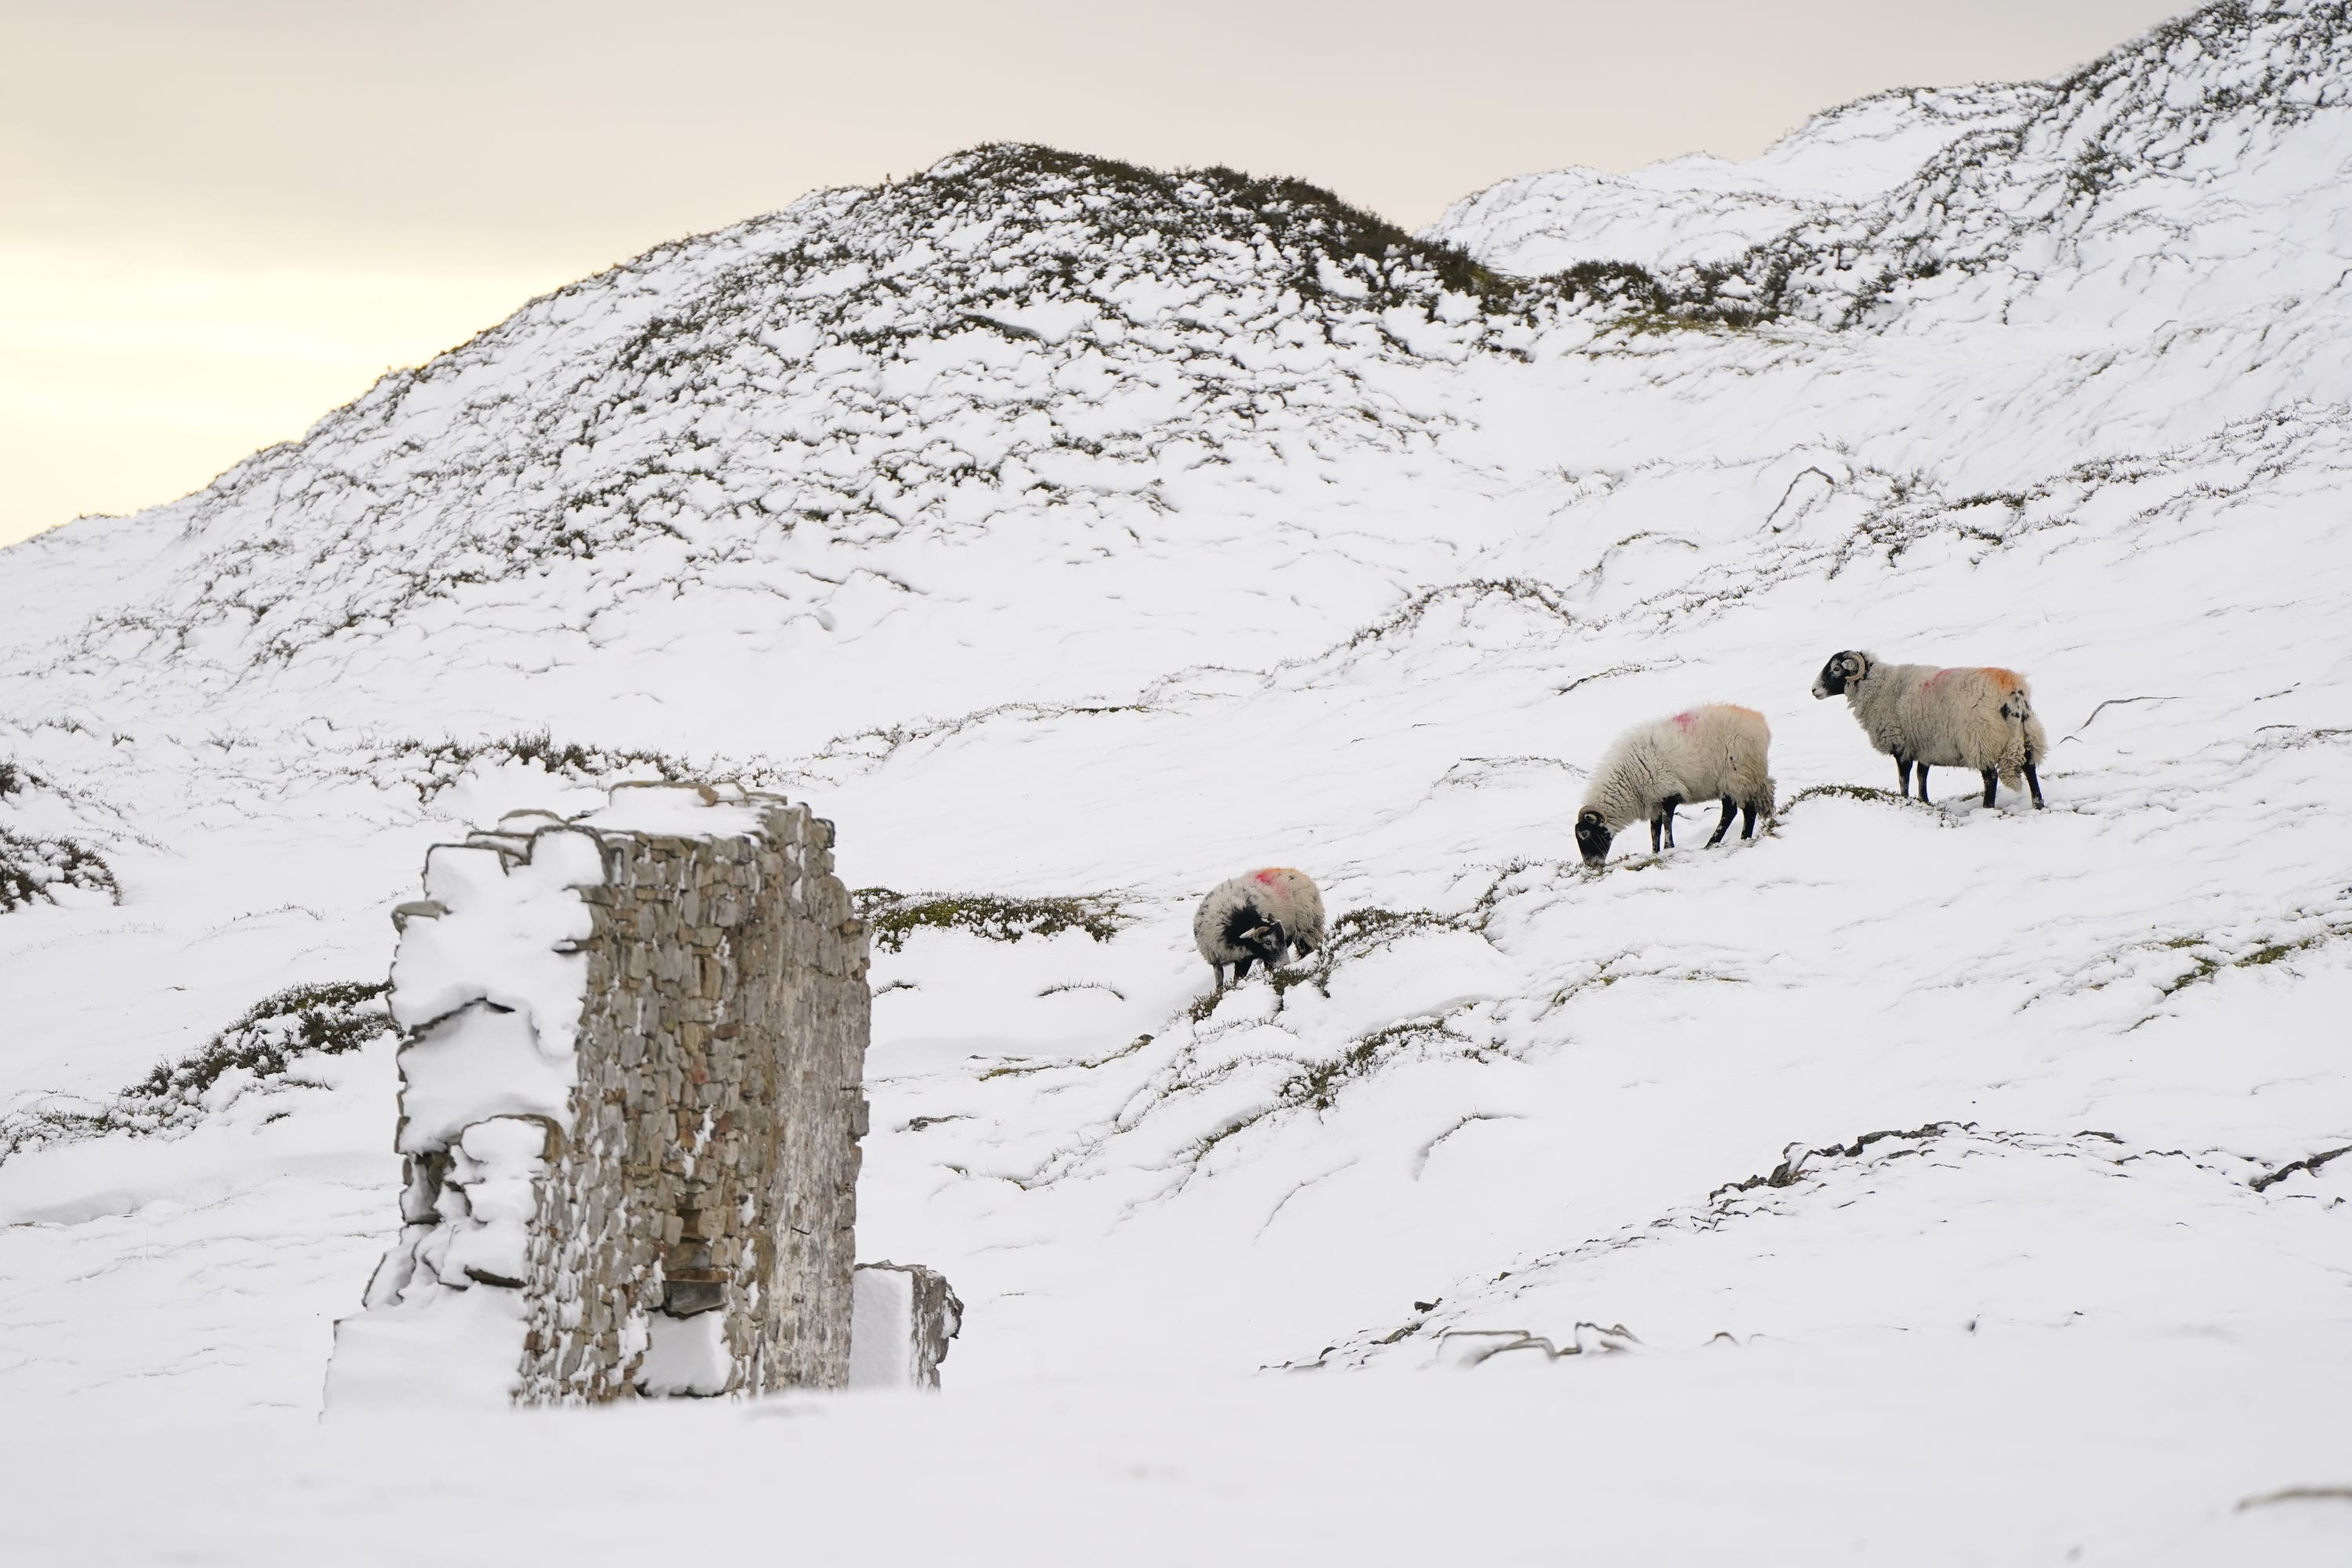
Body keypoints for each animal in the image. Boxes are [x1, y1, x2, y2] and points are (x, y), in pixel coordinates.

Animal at [1195, 865, 1327, 987]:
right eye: (1267, 942)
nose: (1284, 965)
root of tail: (1301, 875)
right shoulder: (1217, 962)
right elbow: (1219, 987)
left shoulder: (1244, 960)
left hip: (1306, 929)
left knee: (1307, 949)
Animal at [1571, 710, 1769, 869]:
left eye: (1585, 833)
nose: (1591, 865)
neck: (1629, 780)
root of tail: (1761, 725)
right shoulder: (1654, 801)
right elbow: (1654, 829)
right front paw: (1655, 852)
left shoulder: (1667, 793)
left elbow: (1666, 823)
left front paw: (1668, 848)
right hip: (1736, 780)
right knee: (1739, 810)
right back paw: (1730, 840)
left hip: (1736, 776)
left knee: (1737, 811)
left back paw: (1723, 841)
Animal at [1816, 648, 2042, 808]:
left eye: (1836, 669)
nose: (1814, 690)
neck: (1878, 687)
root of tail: (2014, 693)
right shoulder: (1925, 747)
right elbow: (1921, 776)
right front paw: (1924, 801)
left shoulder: (1901, 745)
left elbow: (1904, 778)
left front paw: (1905, 800)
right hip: (2027, 735)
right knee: (2030, 768)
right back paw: (2038, 805)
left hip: (1981, 740)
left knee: (1991, 778)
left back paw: (1987, 807)